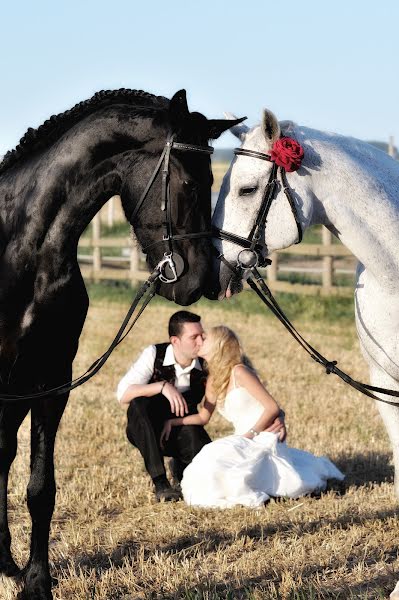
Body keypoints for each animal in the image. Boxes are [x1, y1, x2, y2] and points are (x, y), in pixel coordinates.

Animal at [0, 86, 239, 596]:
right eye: (190, 183)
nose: (202, 281)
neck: (21, 251)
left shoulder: (51, 382)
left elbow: (40, 488)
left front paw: (36, 580)